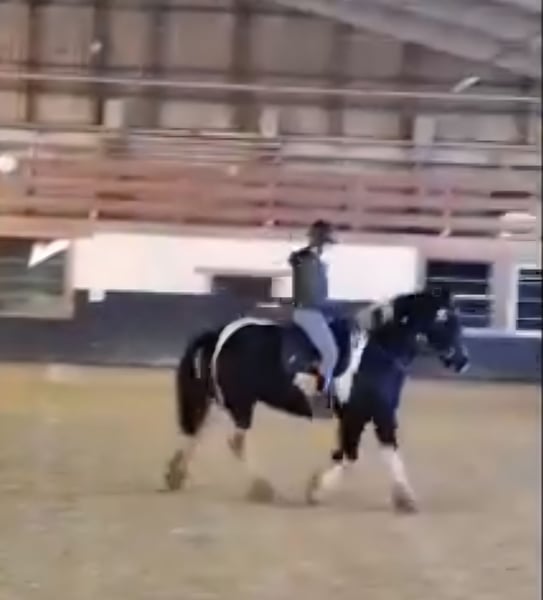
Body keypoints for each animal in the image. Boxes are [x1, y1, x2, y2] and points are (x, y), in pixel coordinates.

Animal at [164, 288, 469, 513]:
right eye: (444, 319)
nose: (462, 361)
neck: (375, 353)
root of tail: (221, 333)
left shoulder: (379, 414)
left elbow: (387, 453)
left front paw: (405, 498)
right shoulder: (360, 415)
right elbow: (350, 456)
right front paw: (316, 490)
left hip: (222, 401)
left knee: (199, 433)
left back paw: (176, 475)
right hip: (241, 403)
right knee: (234, 442)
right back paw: (262, 487)